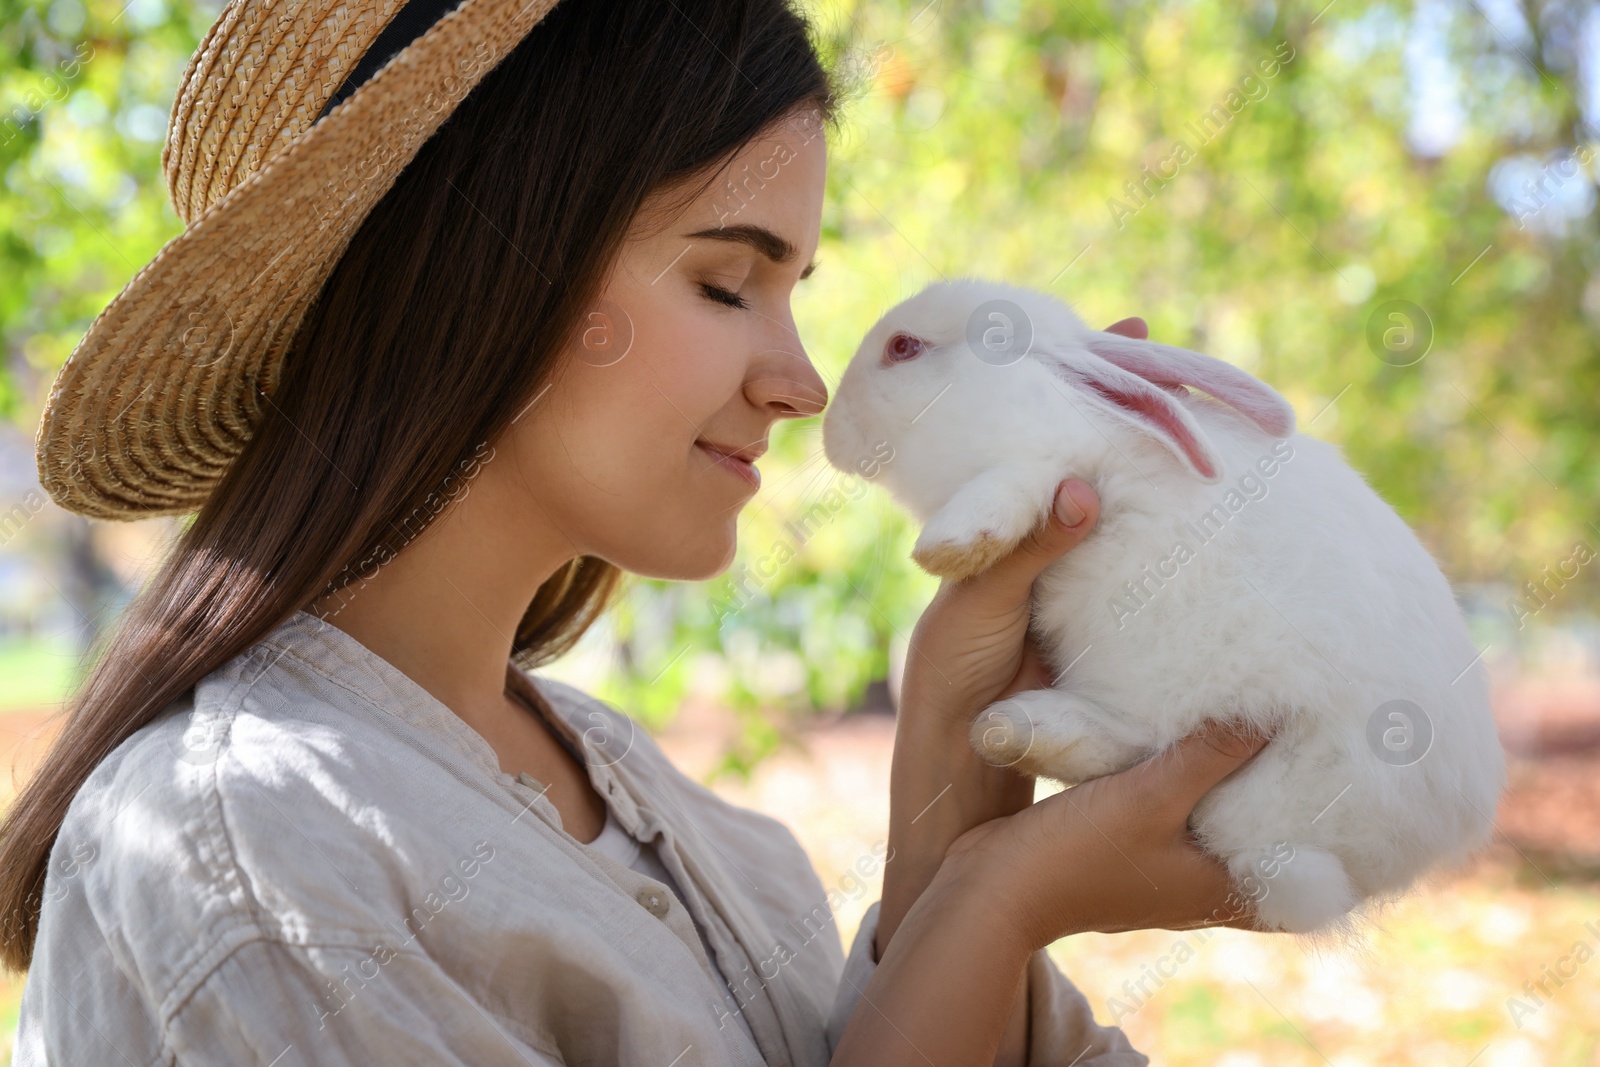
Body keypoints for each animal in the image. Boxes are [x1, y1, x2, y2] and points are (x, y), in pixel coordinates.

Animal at [819, 279, 1504, 940]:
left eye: (903, 347)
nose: (829, 433)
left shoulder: (1058, 465)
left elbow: (1018, 480)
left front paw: (949, 545)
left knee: (1145, 741)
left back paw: (1022, 729)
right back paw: (1021, 733)